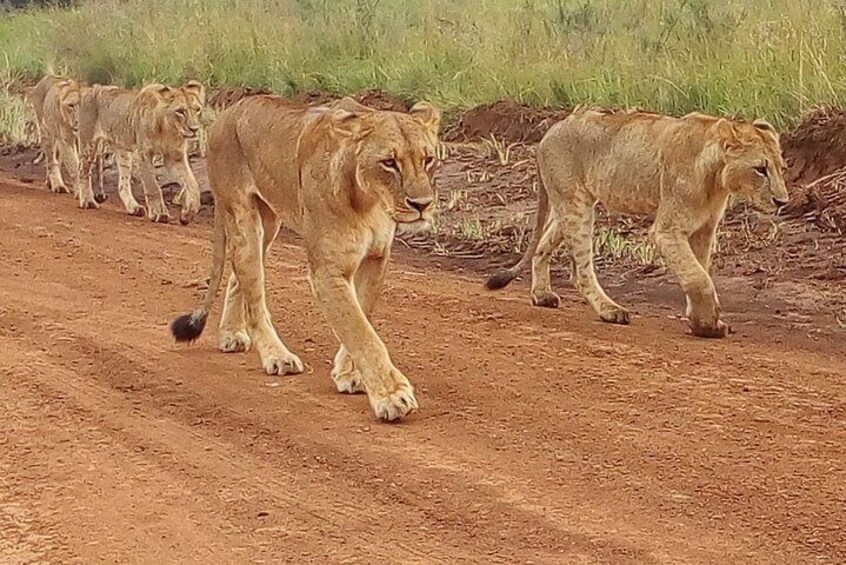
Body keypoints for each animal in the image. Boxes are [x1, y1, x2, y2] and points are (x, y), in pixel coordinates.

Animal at [25, 74, 106, 202]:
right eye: (71, 106)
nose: (81, 122)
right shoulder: (65, 139)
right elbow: (74, 165)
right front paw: (80, 193)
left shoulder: (94, 142)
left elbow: (95, 166)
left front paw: (96, 193)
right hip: (47, 131)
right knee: (52, 160)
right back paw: (58, 185)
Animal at [77, 80, 206, 223]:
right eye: (180, 111)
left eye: (197, 109)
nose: (194, 129)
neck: (168, 130)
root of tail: (94, 87)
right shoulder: (143, 154)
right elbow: (153, 187)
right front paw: (160, 213)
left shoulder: (174, 157)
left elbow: (193, 184)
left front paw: (188, 213)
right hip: (89, 143)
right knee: (82, 171)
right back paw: (88, 201)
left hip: (123, 151)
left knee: (123, 184)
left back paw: (134, 208)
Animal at [169, 95, 441, 422]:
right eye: (389, 163)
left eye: (428, 159)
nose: (422, 204)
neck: (369, 201)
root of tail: (228, 112)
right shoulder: (326, 270)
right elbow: (360, 331)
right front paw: (391, 395)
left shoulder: (376, 258)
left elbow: (361, 315)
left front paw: (348, 374)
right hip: (243, 217)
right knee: (253, 294)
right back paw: (277, 356)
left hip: (268, 223)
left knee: (238, 276)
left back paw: (231, 334)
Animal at [486, 107, 789, 338]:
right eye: (760, 169)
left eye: (781, 168)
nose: (783, 201)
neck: (716, 179)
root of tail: (551, 130)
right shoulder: (667, 230)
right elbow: (698, 277)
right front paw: (708, 325)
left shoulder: (704, 229)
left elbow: (699, 270)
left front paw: (702, 322)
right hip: (575, 205)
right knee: (580, 271)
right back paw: (610, 311)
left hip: (570, 204)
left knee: (541, 246)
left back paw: (542, 295)